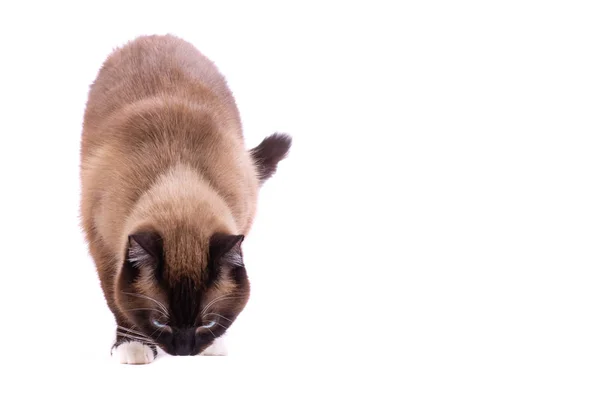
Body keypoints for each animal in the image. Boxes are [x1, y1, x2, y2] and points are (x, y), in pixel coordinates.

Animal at [79, 35, 290, 366]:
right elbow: (117, 301)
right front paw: (133, 346)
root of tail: (152, 37)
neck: (177, 178)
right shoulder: (103, 245)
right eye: (159, 322)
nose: (184, 352)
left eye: (208, 323)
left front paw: (215, 344)